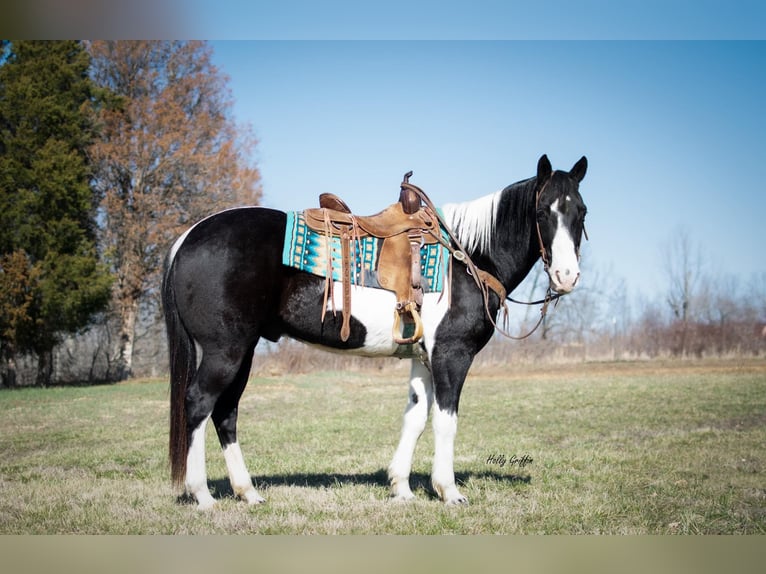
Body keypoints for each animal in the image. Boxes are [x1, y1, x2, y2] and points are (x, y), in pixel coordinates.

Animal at [165, 153, 592, 508]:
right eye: (542, 210)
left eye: (582, 211)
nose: (567, 276)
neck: (468, 256)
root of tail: (188, 237)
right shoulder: (451, 355)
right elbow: (445, 420)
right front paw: (449, 491)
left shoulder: (423, 358)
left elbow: (415, 418)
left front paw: (401, 488)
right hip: (226, 351)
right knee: (200, 404)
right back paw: (203, 495)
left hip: (244, 350)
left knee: (226, 412)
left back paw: (248, 492)